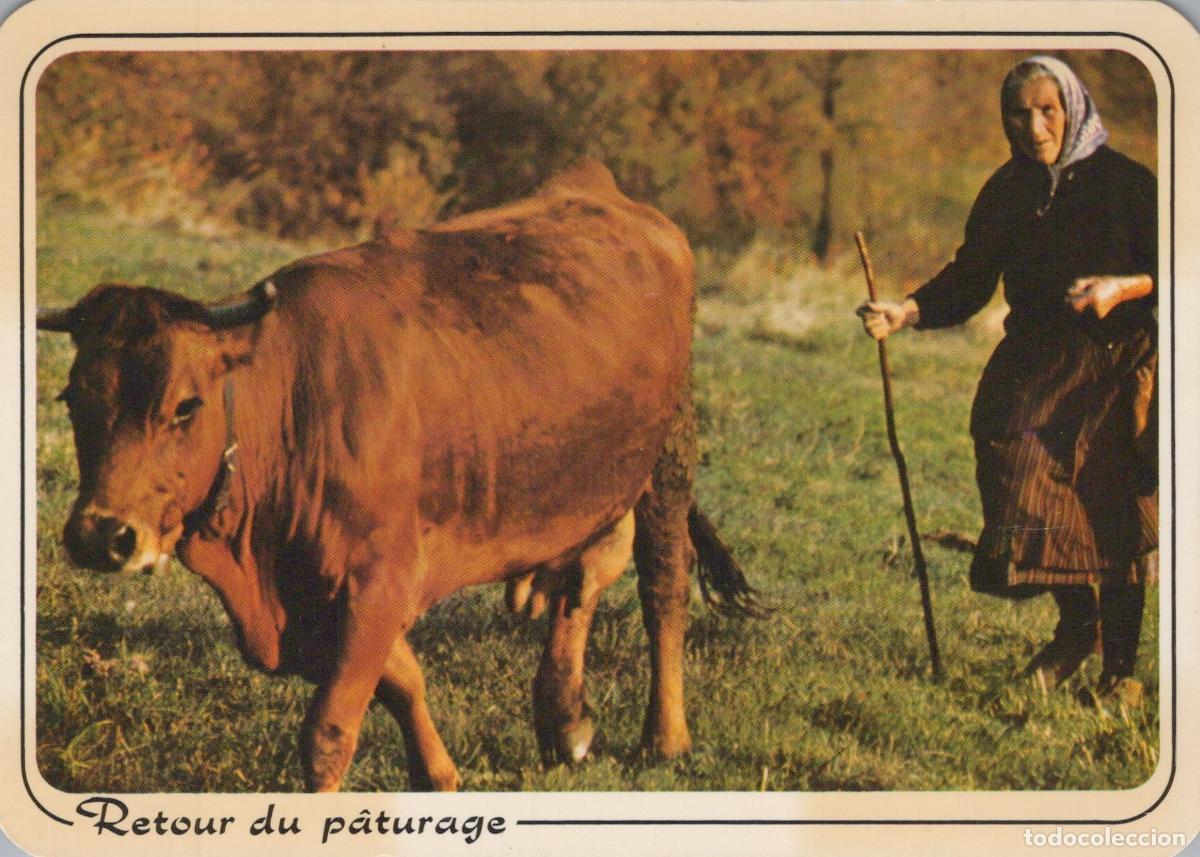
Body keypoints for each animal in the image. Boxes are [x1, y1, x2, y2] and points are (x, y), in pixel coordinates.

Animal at [37, 159, 759, 792]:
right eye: (73, 400)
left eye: (184, 406)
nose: (102, 536)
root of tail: (599, 188)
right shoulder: (344, 588)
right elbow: (403, 677)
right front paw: (438, 774)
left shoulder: (378, 578)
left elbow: (329, 730)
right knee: (581, 577)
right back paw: (564, 718)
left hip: (669, 453)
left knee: (663, 584)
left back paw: (664, 738)